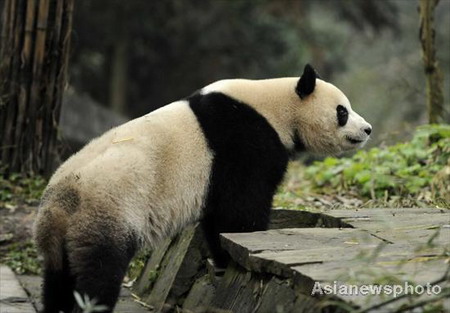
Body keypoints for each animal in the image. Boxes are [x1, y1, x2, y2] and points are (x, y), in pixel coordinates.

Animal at [33, 64, 372, 312]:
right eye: (342, 111)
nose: (367, 129)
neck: (274, 105)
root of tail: (62, 203)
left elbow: (217, 216)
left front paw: (222, 259)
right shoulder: (244, 141)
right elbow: (240, 208)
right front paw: (240, 247)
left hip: (60, 234)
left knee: (58, 278)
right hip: (108, 211)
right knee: (99, 273)